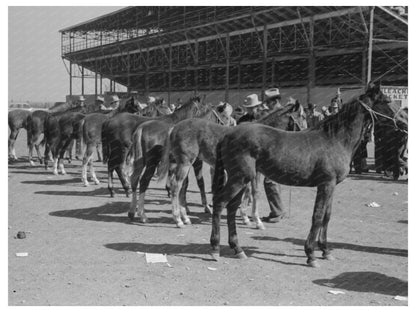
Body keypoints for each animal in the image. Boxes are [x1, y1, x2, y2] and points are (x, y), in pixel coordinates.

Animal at [164, 100, 308, 227]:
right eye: (302, 116)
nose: (307, 132)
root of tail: (174, 128)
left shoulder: (253, 171)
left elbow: (253, 192)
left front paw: (251, 219)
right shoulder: (251, 171)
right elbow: (250, 192)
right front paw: (251, 219)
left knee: (182, 186)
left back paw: (185, 217)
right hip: (186, 163)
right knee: (176, 185)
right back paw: (178, 220)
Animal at [210, 83, 408, 268]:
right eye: (387, 101)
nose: (405, 122)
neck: (335, 139)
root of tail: (228, 135)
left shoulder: (331, 186)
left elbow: (327, 216)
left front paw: (326, 251)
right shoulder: (326, 184)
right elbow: (318, 216)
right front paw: (311, 254)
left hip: (241, 179)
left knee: (231, 207)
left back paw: (237, 249)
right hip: (239, 178)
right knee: (220, 203)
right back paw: (215, 249)